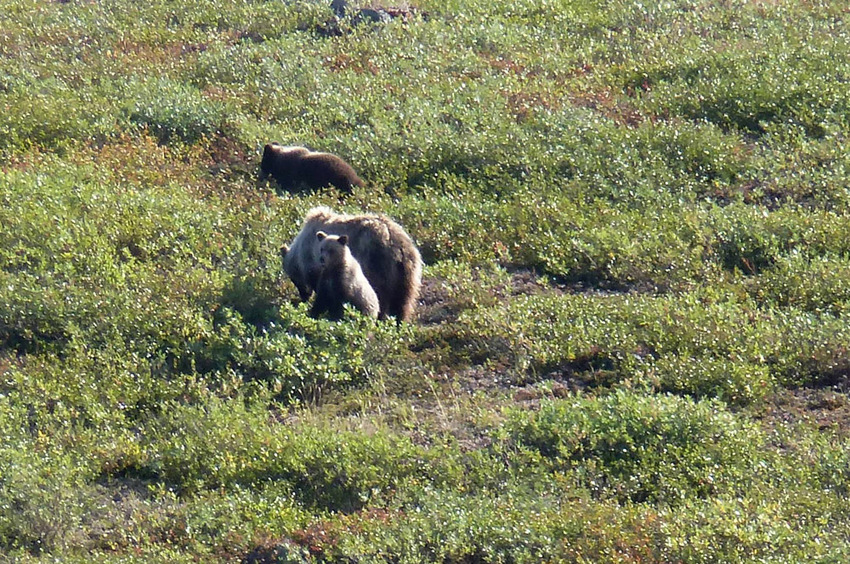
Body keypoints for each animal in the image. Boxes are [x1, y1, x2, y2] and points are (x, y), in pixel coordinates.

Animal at [280, 206, 422, 322]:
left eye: (293, 279)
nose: (303, 296)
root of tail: (400, 247)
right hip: (407, 273)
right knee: (403, 302)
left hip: (377, 265)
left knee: (381, 296)